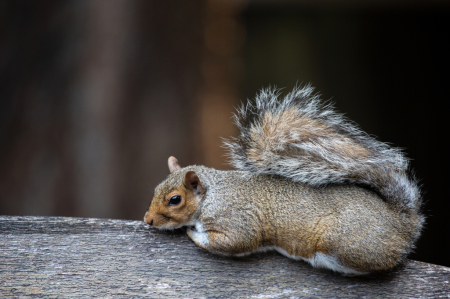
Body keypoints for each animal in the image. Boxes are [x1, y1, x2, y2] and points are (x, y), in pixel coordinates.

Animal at [142, 85, 424, 276]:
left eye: (175, 200)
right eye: (155, 188)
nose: (148, 220)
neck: (213, 194)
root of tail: (401, 225)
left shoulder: (237, 221)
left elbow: (233, 241)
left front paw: (194, 233)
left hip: (347, 244)